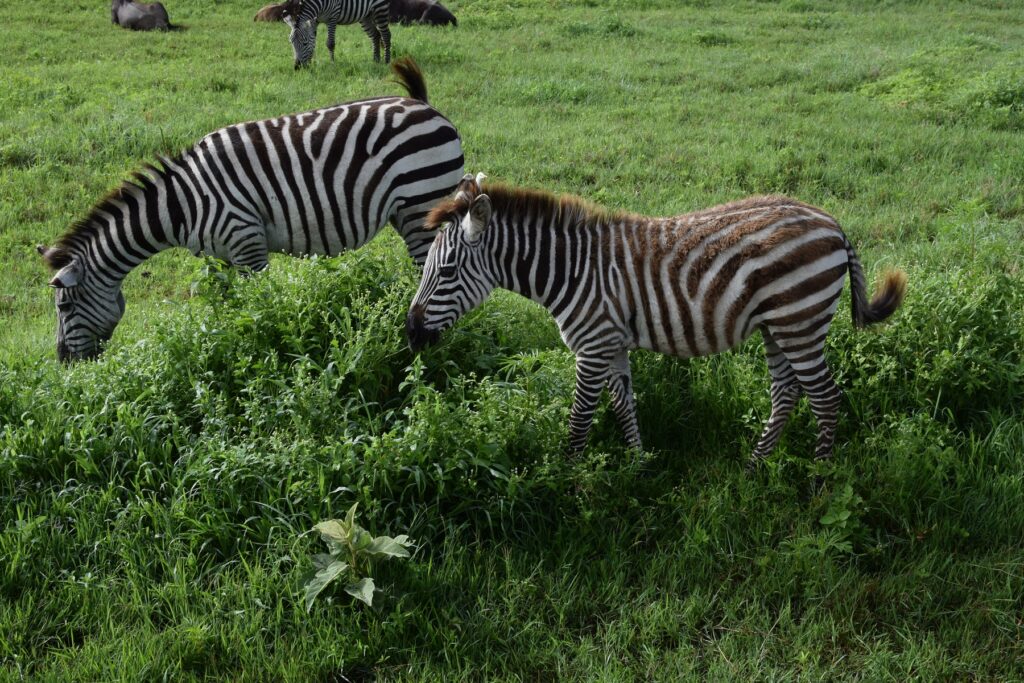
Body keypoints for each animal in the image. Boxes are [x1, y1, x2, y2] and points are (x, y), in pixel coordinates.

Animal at [38, 58, 464, 362]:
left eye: (63, 305)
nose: (64, 362)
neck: (182, 205)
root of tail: (421, 103)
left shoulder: (247, 243)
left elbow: (260, 305)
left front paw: (266, 346)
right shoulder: (223, 256)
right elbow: (229, 307)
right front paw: (228, 341)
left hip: (423, 202)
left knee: (431, 266)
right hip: (406, 211)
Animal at [406, 174, 907, 464]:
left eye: (445, 272)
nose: (411, 335)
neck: (572, 270)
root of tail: (833, 223)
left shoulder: (592, 346)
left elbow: (579, 419)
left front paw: (567, 483)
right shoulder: (612, 343)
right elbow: (623, 404)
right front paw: (638, 463)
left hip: (799, 322)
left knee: (825, 398)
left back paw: (819, 479)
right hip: (778, 327)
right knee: (787, 394)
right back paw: (755, 465)